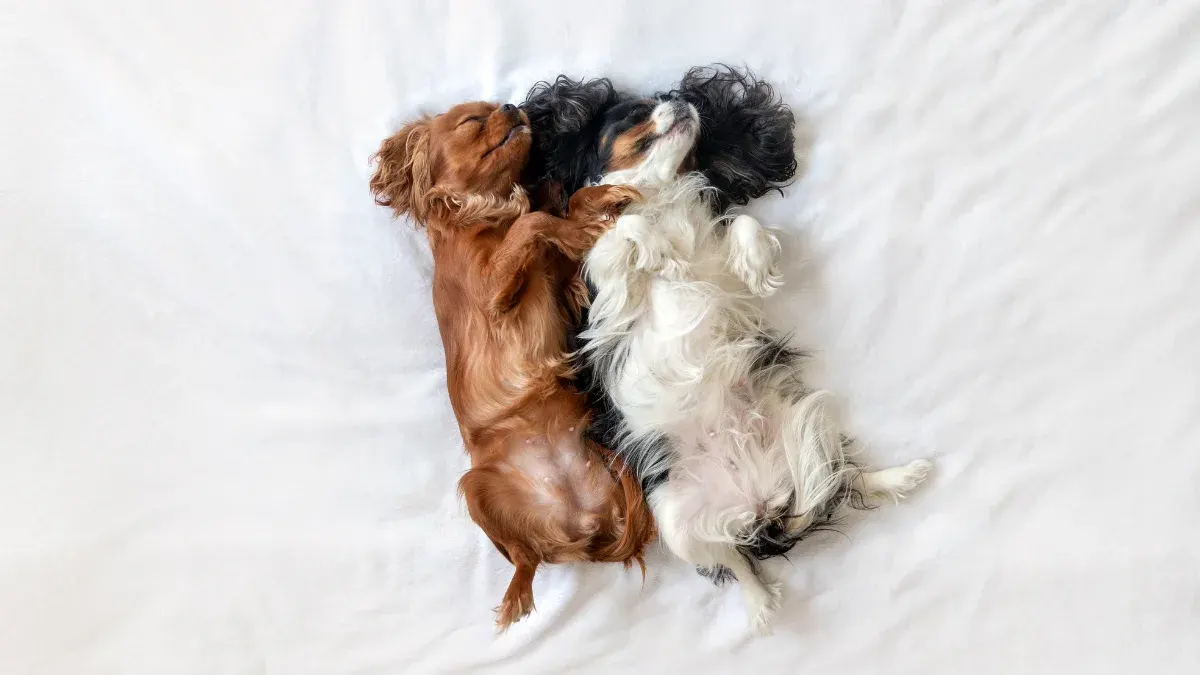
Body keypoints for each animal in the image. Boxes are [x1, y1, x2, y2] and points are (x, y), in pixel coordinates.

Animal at [369, 101, 654, 630]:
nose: (510, 105)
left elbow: (554, 218)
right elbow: (535, 223)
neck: (487, 216)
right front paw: (575, 219)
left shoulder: (556, 277)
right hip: (476, 488)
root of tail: (575, 520)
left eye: (494, 107)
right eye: (472, 121)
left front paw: (594, 201)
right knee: (525, 558)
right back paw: (516, 596)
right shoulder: (493, 294)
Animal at [523, 67, 933, 632]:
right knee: (735, 558)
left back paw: (897, 476)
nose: (681, 100)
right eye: (636, 112)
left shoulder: (717, 260)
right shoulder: (597, 290)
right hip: (674, 520)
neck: (660, 199)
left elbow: (742, 224)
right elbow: (622, 233)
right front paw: (653, 246)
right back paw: (760, 605)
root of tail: (758, 505)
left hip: (804, 423)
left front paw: (755, 263)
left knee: (842, 478)